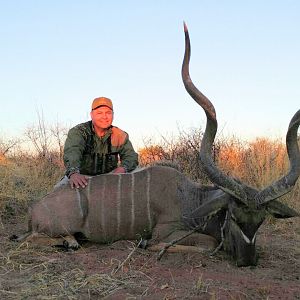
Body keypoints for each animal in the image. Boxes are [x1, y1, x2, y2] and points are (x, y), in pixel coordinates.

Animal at [14, 24, 300, 266]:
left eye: (261, 221)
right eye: (234, 216)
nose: (248, 261)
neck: (191, 200)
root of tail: (33, 210)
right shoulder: (167, 231)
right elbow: (205, 244)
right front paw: (145, 244)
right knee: (30, 240)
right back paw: (70, 242)